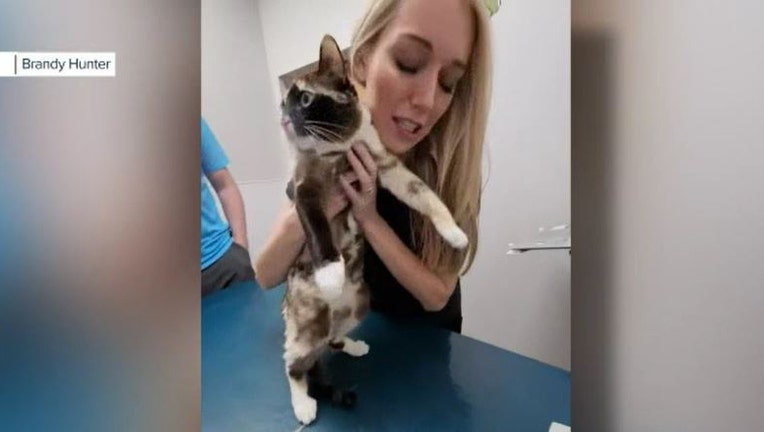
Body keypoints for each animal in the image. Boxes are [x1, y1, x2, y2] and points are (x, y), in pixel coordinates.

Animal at [280, 33, 468, 426]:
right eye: (282, 103)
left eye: (304, 100)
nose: (284, 118)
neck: (342, 147)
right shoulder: (304, 189)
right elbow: (318, 229)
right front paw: (331, 273)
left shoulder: (387, 167)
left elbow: (427, 197)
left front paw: (455, 234)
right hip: (305, 328)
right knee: (294, 364)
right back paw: (303, 405)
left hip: (360, 304)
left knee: (331, 339)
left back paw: (353, 345)